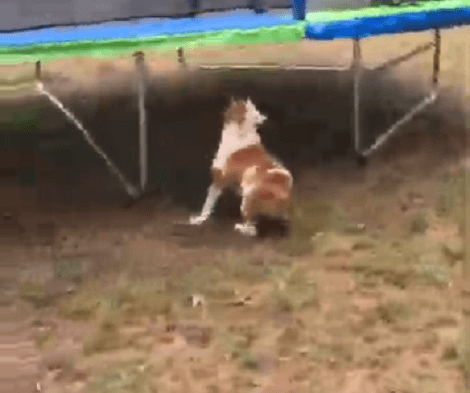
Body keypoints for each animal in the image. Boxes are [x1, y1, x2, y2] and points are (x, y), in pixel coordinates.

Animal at [189, 97, 292, 236]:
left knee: (252, 229)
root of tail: (284, 195)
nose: (230, 99)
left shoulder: (219, 180)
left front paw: (198, 220)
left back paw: (240, 228)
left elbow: (207, 205)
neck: (242, 131)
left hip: (248, 195)